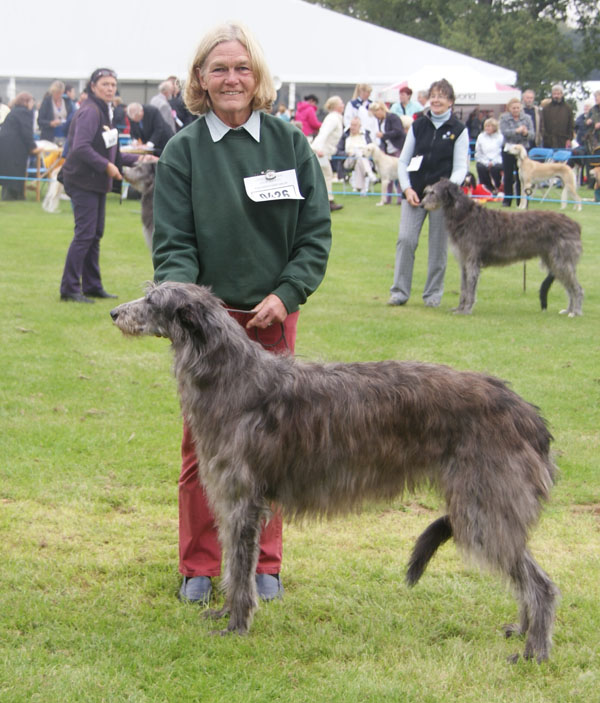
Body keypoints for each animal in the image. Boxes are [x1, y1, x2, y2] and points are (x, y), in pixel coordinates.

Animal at [110, 284, 560, 664]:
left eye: (152, 300)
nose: (114, 312)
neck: (232, 378)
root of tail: (530, 416)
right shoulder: (232, 502)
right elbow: (233, 569)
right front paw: (223, 613)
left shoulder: (241, 503)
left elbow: (239, 572)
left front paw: (236, 626)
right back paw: (521, 629)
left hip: (484, 507)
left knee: (540, 583)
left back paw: (534, 650)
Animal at [420, 179, 584, 316]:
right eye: (428, 191)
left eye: (433, 192)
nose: (421, 204)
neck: (464, 216)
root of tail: (576, 225)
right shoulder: (464, 262)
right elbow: (463, 288)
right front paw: (459, 308)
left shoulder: (472, 261)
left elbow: (471, 289)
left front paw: (466, 310)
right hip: (554, 261)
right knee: (569, 287)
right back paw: (569, 309)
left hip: (561, 260)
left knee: (577, 288)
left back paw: (576, 311)